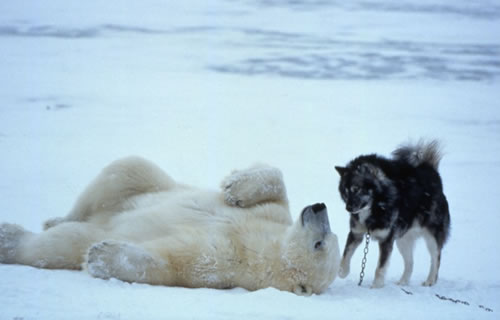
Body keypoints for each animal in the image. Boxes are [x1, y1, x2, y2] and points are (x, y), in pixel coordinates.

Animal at [0, 157, 340, 296]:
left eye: (320, 243)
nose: (320, 207)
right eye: (329, 236)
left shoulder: (228, 260)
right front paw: (234, 186)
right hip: (137, 186)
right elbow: (276, 183)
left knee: (61, 244)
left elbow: (175, 260)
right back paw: (55, 218)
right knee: (125, 170)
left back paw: (9, 239)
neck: (265, 245)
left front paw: (102, 256)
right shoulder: (273, 216)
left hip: (94, 228)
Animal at [336, 140, 450, 288]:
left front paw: (376, 286)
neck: (376, 207)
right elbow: (346, 255)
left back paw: (430, 280)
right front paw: (341, 272)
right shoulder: (356, 233)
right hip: (403, 239)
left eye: (357, 189)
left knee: (436, 258)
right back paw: (403, 282)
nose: (348, 208)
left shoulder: (386, 239)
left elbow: (380, 267)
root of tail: (431, 171)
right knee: (410, 262)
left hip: (432, 236)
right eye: (346, 192)